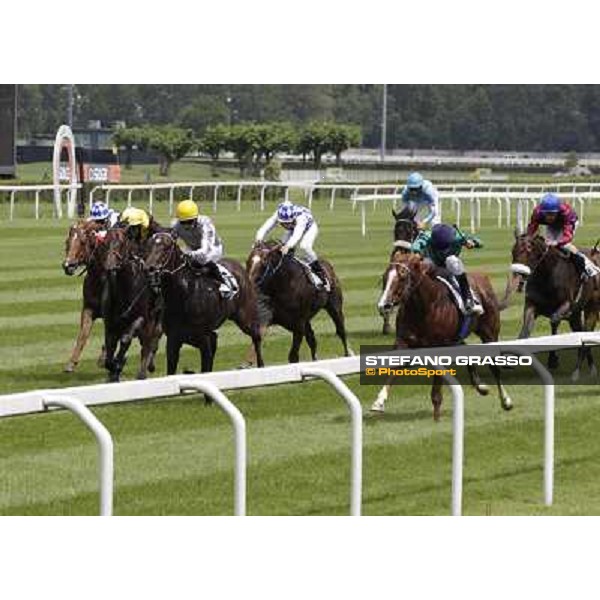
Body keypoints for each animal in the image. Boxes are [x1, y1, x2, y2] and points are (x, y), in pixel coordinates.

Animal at [62, 219, 107, 370]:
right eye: (67, 241)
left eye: (82, 242)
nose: (67, 265)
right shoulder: (88, 307)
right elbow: (83, 334)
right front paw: (71, 362)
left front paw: (104, 358)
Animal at [144, 231, 264, 376]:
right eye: (148, 246)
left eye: (166, 247)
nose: (149, 269)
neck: (183, 294)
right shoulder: (174, 340)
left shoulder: (204, 339)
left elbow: (206, 367)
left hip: (245, 318)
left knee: (256, 336)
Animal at [372, 255, 508, 420]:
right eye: (385, 278)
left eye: (402, 278)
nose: (383, 306)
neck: (424, 308)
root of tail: (483, 279)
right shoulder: (404, 342)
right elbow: (395, 368)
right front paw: (379, 402)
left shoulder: (440, 347)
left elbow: (437, 388)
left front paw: (436, 416)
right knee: (465, 348)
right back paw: (480, 386)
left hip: (489, 333)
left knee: (494, 367)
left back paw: (506, 400)